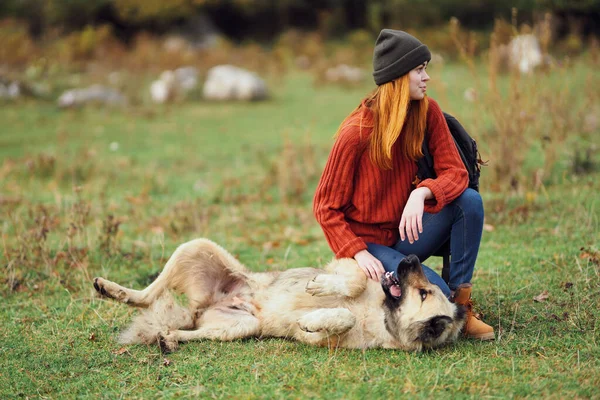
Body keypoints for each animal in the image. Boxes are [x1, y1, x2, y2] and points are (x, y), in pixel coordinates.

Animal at [95, 239, 468, 352]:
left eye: (423, 292)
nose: (410, 259)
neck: (382, 312)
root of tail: (205, 305)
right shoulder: (349, 264)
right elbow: (354, 283)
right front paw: (320, 290)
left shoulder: (322, 342)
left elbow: (336, 320)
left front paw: (312, 319)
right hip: (196, 247)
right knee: (147, 294)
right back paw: (113, 289)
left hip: (238, 327)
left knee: (187, 330)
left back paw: (169, 338)